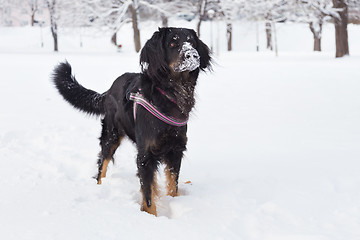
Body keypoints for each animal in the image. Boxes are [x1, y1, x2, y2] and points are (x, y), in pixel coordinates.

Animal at [51, 27, 211, 216]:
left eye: (191, 41)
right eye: (173, 43)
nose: (192, 55)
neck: (169, 93)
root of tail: (109, 90)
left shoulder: (175, 150)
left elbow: (173, 184)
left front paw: (174, 201)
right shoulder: (145, 155)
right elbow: (148, 194)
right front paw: (150, 216)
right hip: (111, 134)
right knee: (102, 163)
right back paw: (99, 186)